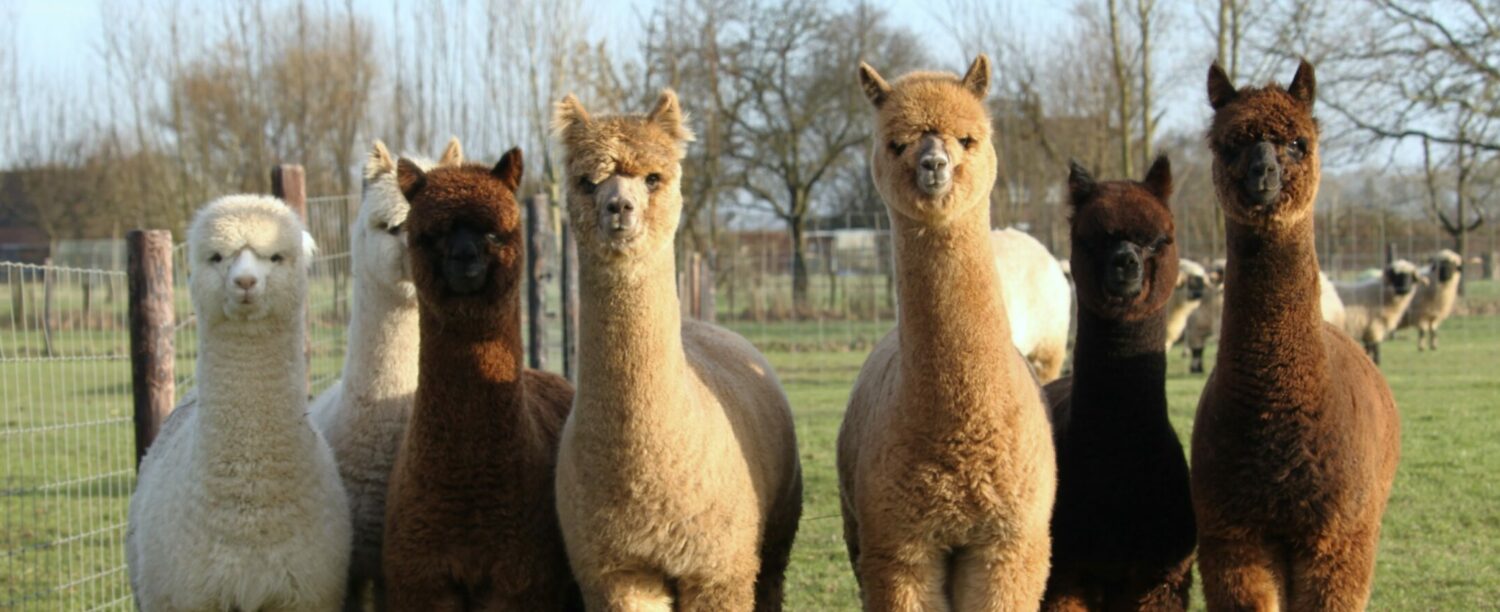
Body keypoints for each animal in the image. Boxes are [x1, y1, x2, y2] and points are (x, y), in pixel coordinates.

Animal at [552, 90, 802, 611]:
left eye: (653, 177)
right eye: (587, 182)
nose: (619, 207)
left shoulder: (719, 569)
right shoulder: (615, 572)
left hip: (775, 533)